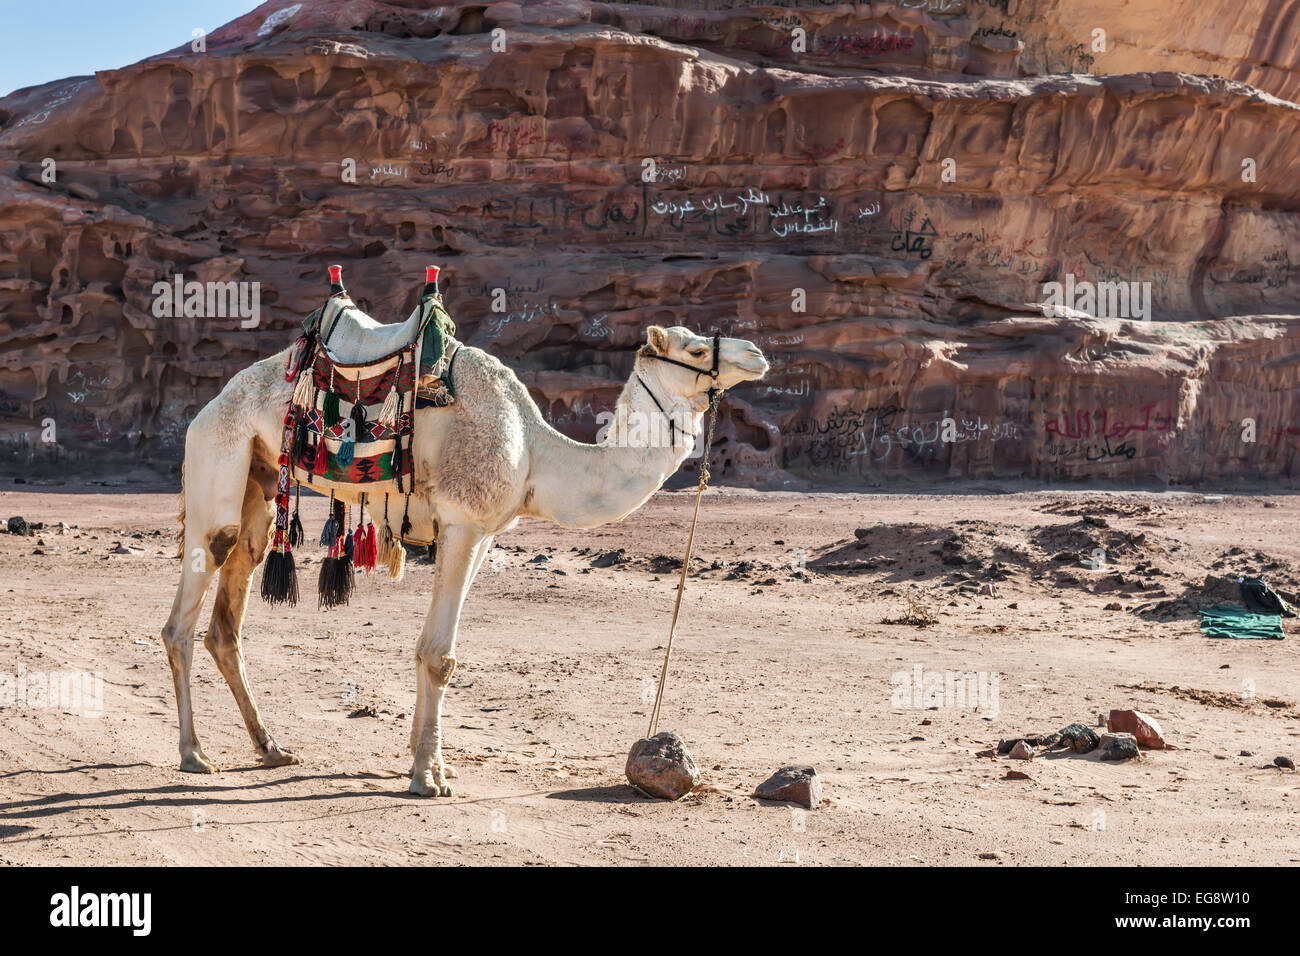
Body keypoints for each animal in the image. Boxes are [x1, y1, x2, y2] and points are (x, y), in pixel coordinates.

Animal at [157, 310, 764, 796]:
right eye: (693, 349)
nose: (756, 354)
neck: (537, 455)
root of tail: (205, 409)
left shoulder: (482, 532)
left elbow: (428, 647)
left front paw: (424, 761)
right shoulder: (465, 521)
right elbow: (441, 655)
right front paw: (429, 778)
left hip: (259, 486)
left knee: (226, 622)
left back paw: (272, 748)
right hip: (217, 462)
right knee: (184, 615)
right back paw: (193, 754)